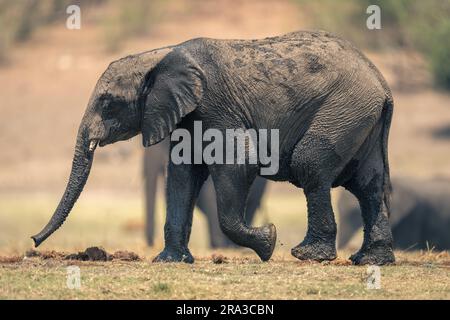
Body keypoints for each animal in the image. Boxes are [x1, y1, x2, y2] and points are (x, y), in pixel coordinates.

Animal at [32, 30, 394, 264]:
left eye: (108, 103)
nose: (34, 241)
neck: (161, 55)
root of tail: (382, 82)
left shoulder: (215, 104)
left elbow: (238, 163)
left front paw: (268, 241)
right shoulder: (188, 113)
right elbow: (182, 176)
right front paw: (170, 261)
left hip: (343, 108)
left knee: (312, 164)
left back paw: (309, 256)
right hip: (360, 117)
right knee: (368, 183)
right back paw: (370, 260)